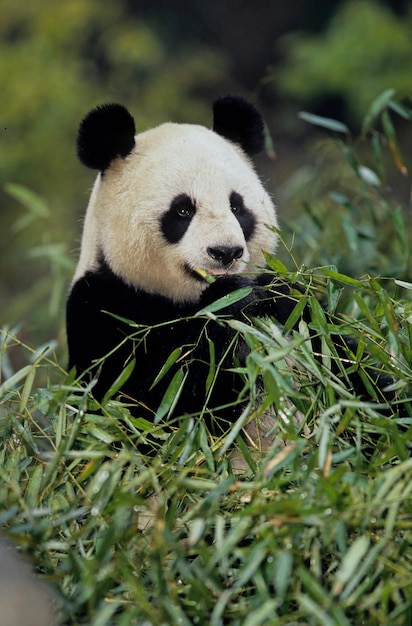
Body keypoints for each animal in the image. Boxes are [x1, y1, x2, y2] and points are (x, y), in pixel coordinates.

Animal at [67, 95, 396, 442]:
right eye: (182, 210)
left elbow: (353, 372)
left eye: (237, 207)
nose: (225, 252)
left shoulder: (299, 309)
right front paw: (231, 303)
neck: (184, 301)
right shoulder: (103, 306)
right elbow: (143, 407)